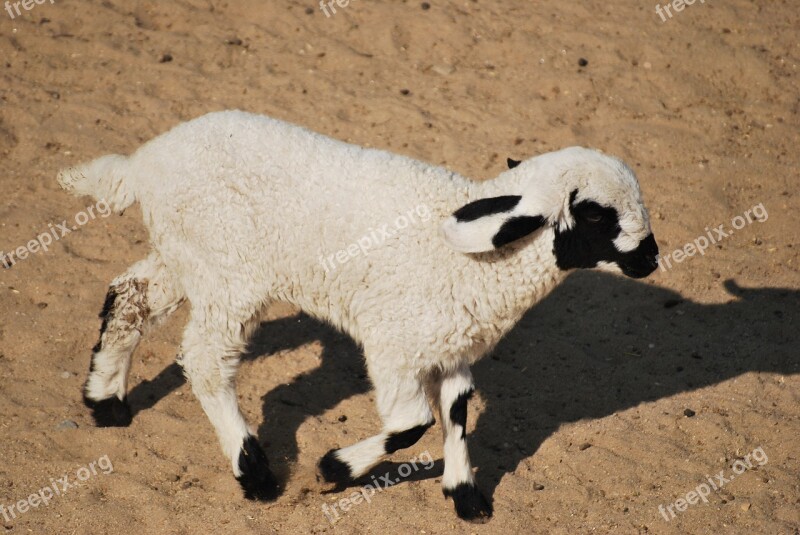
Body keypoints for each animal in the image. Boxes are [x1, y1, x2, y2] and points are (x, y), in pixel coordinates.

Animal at [54, 110, 656, 524]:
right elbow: (412, 424)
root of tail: (143, 163)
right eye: (595, 214)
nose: (650, 258)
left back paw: (106, 401)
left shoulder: (450, 346)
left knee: (129, 295)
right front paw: (333, 469)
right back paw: (254, 471)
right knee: (205, 357)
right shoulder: (395, 345)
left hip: (186, 253)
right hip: (229, 272)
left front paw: (465, 496)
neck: (473, 257)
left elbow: (456, 413)